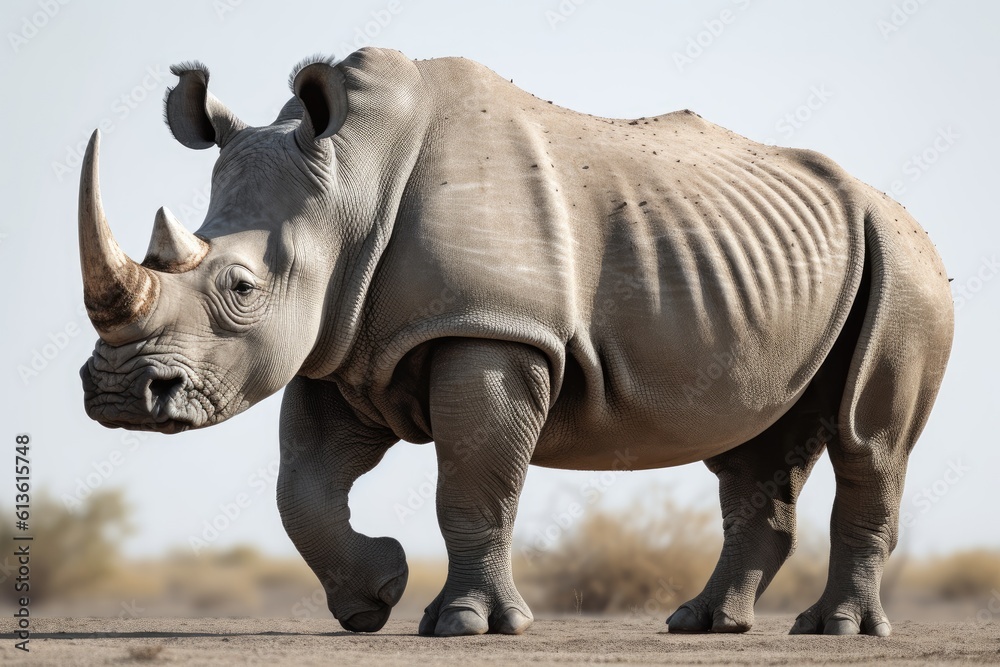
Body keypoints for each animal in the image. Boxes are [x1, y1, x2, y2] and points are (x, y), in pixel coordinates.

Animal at [78, 47, 953, 637]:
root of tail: (893, 208)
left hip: (906, 264)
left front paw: (464, 624)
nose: (119, 393)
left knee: (868, 440)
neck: (350, 183)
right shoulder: (343, 347)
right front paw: (373, 596)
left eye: (240, 288)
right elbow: (303, 487)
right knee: (752, 445)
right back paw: (702, 624)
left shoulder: (492, 328)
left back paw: (833, 629)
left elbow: (474, 480)